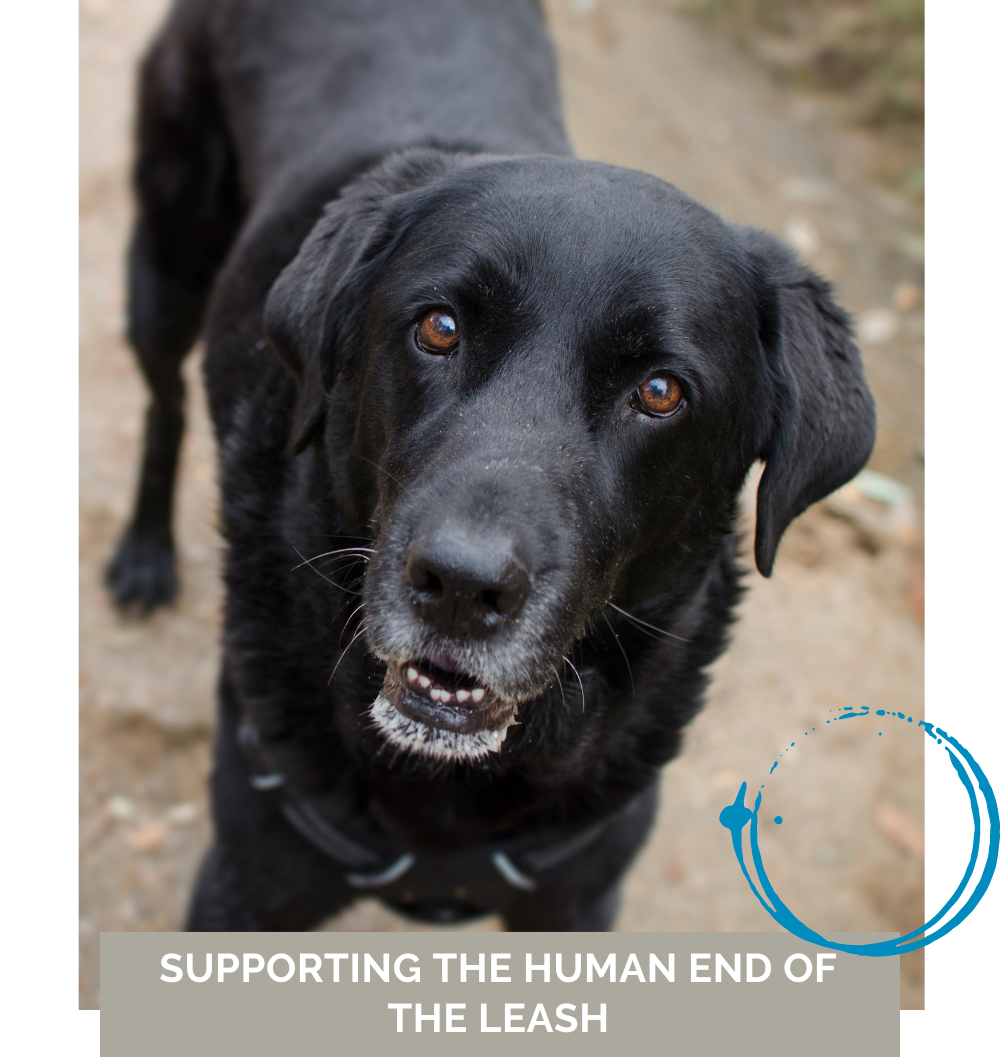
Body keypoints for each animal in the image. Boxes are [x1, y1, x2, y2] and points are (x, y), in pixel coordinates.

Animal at [108, 0, 871, 930]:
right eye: (438, 328)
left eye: (661, 391)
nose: (461, 588)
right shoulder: (247, 886)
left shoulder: (578, 903)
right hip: (167, 261)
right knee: (163, 405)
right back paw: (144, 555)